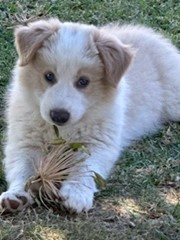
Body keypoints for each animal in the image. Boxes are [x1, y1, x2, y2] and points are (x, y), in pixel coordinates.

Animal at [0, 19, 180, 214]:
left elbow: (85, 169)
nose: (59, 116)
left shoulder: (98, 143)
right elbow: (22, 168)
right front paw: (16, 195)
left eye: (83, 81)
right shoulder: (24, 141)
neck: (62, 130)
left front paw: (76, 194)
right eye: (49, 76)